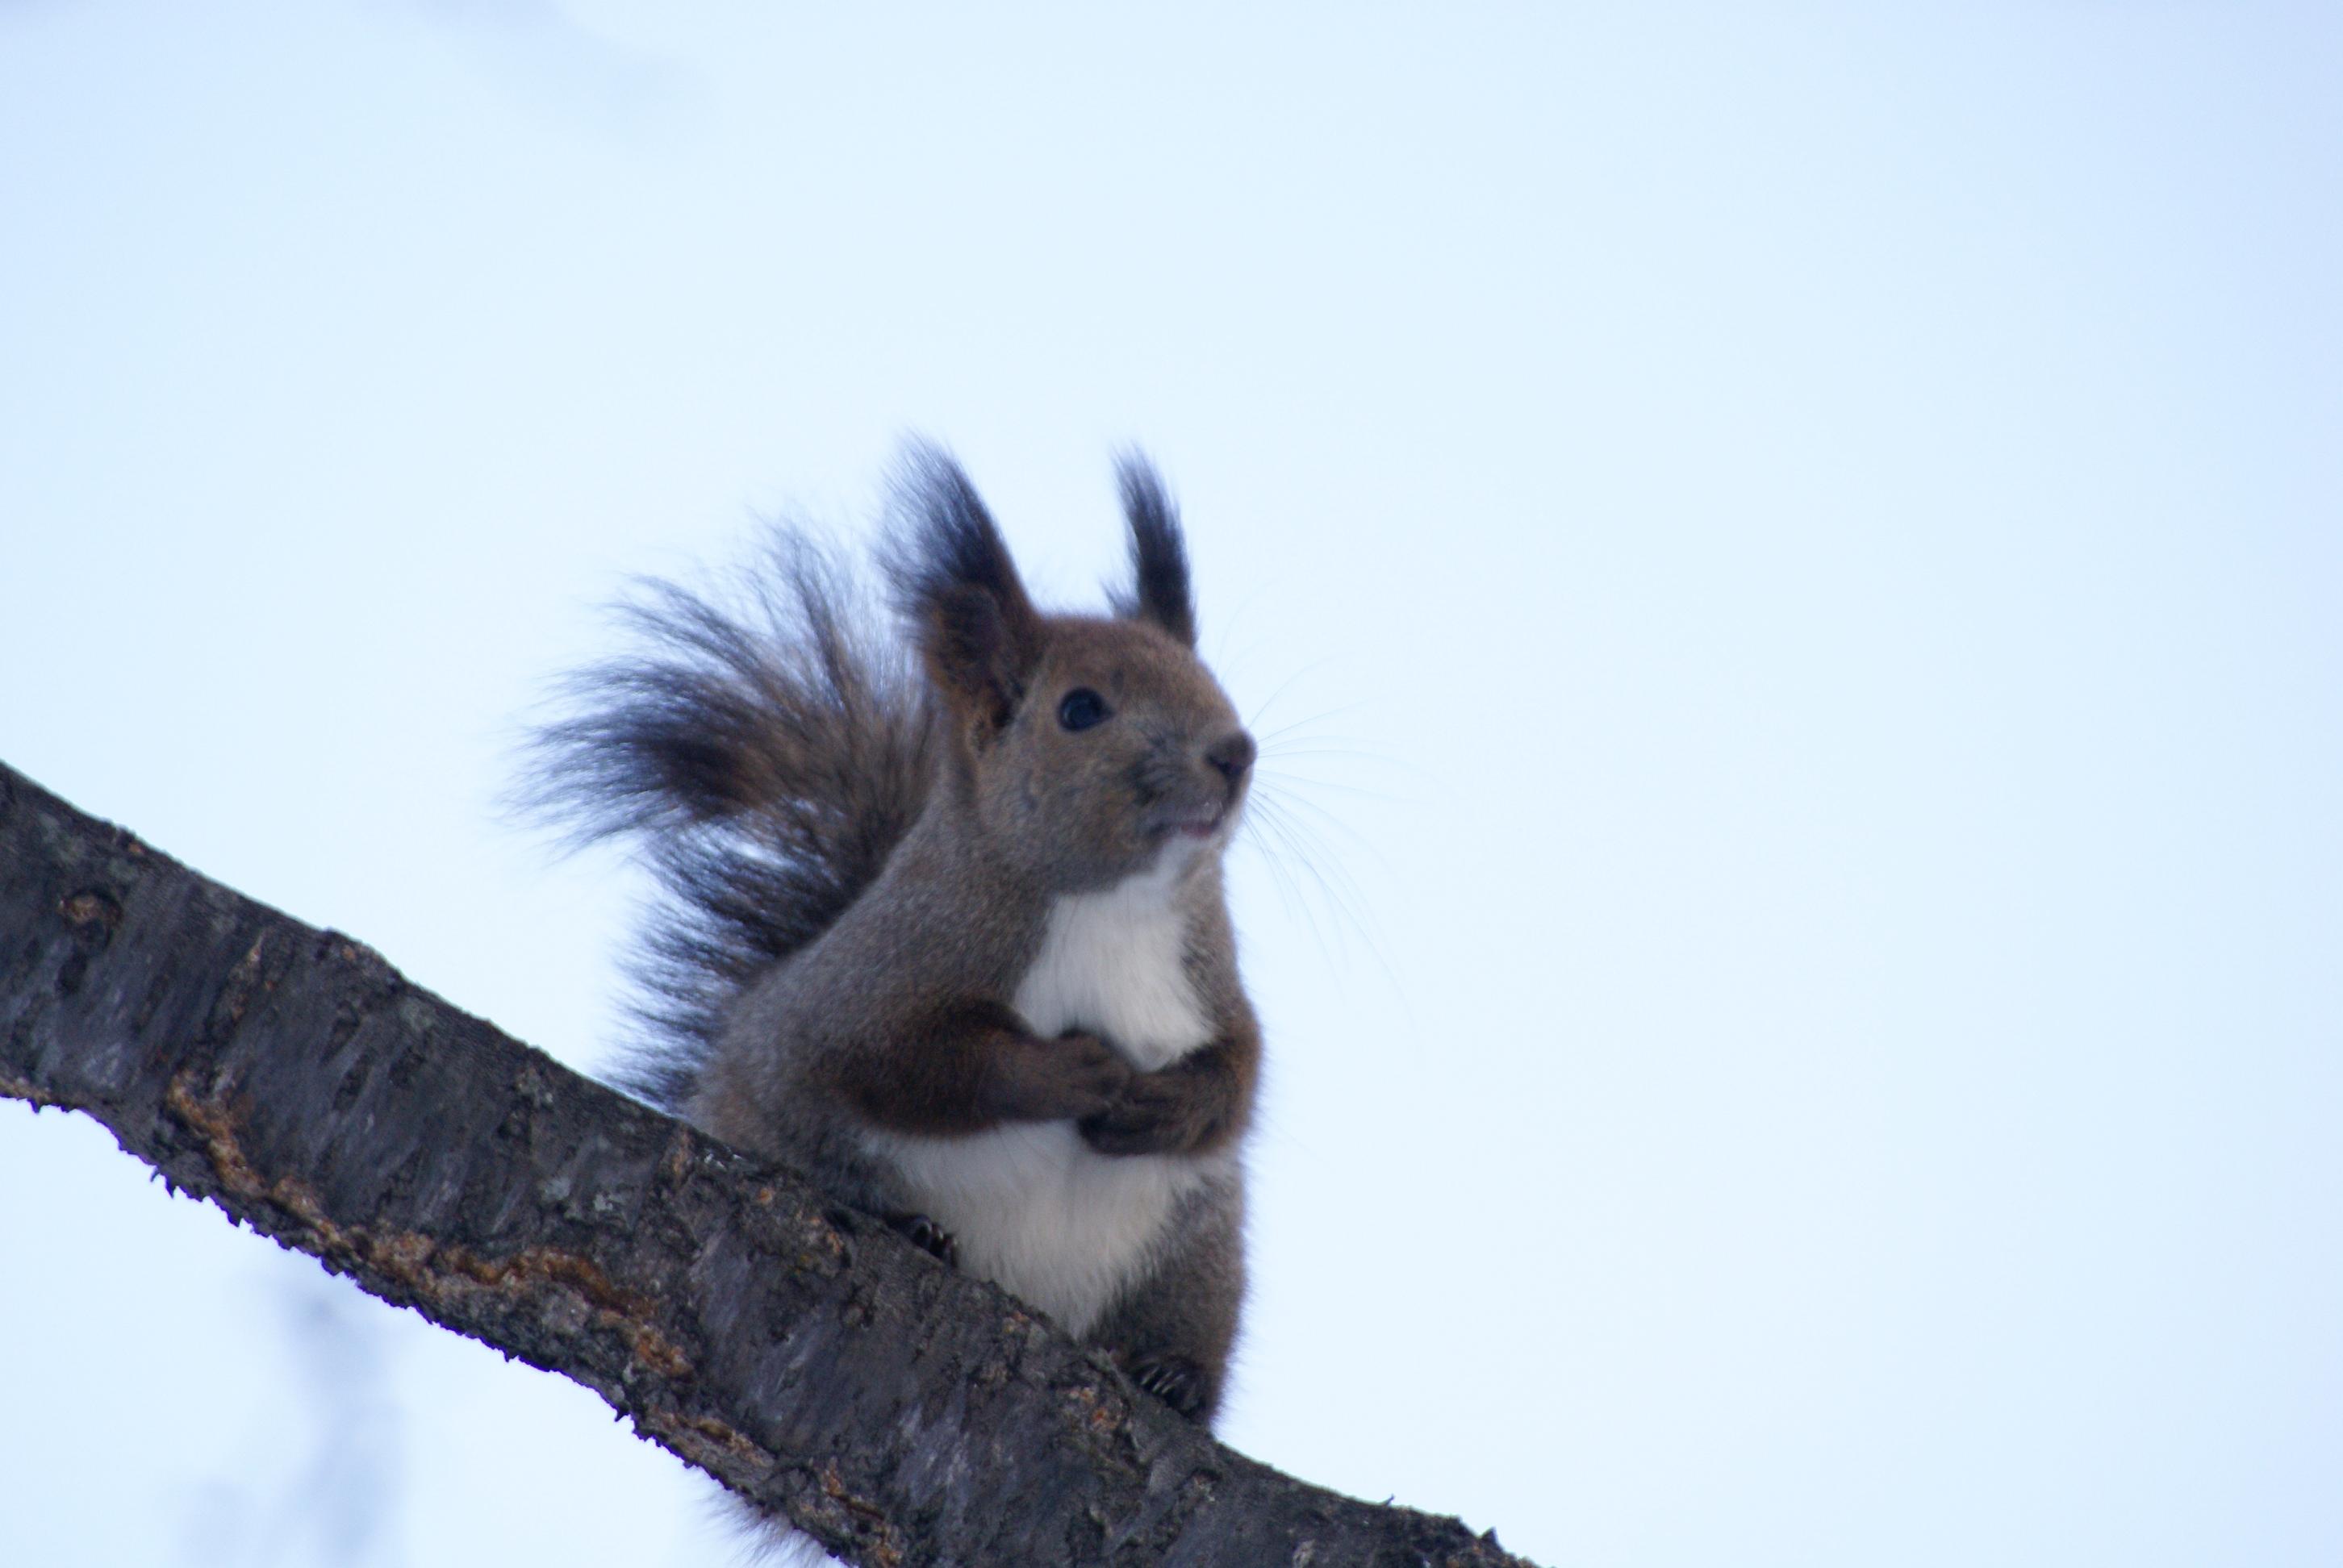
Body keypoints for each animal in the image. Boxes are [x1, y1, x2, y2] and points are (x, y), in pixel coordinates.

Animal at [534, 440, 1265, 1416]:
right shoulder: (881, 973)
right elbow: (912, 1063)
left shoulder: (1208, 972)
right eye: (1080, 709)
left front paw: (1164, 1102)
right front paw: (1070, 1071)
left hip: (1196, 1259)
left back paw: (1171, 1375)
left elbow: (1240, 1073)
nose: (1235, 752)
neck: (1115, 905)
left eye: (1214, 682)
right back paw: (915, 1228)